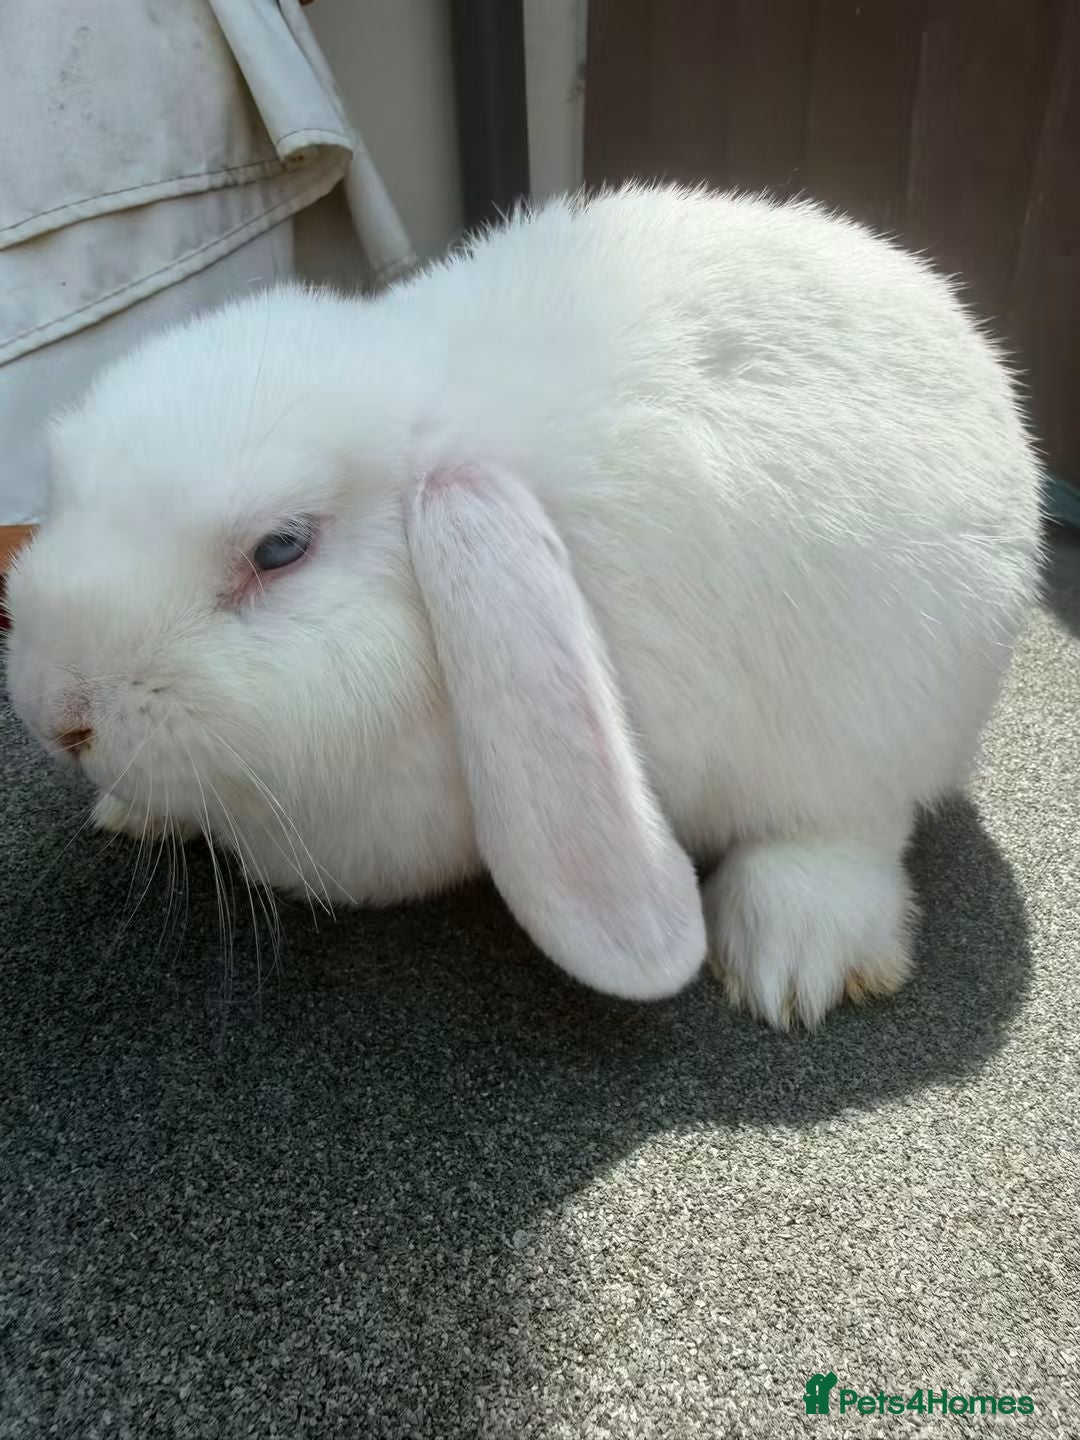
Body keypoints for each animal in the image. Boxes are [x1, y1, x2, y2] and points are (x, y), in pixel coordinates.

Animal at [5, 184, 1042, 1028]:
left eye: (281, 548)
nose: (59, 718)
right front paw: (129, 811)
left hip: (876, 719)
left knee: (852, 826)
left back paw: (791, 958)